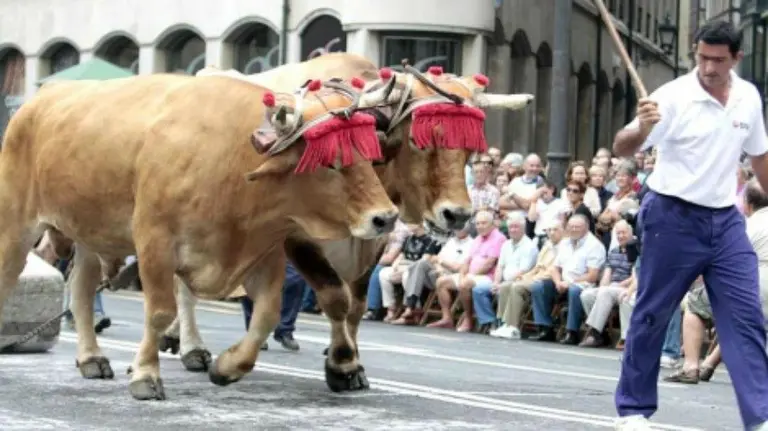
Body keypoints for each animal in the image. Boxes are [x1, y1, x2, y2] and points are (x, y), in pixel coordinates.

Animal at [0, 72, 400, 400]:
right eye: (330, 162)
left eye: (369, 156)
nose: (386, 217)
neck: (232, 161)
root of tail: (41, 97)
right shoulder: (154, 243)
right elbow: (160, 312)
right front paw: (146, 376)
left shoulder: (265, 253)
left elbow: (266, 316)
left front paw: (226, 367)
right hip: (16, 225)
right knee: (10, 278)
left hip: (91, 237)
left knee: (81, 289)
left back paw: (91, 358)